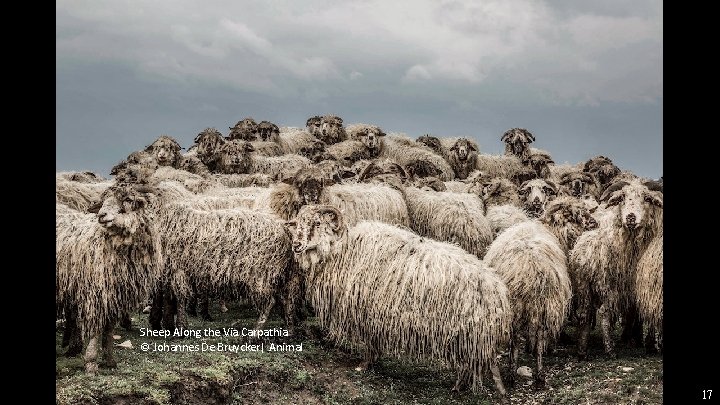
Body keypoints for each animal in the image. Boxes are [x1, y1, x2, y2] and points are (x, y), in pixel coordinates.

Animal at [56, 183, 163, 372]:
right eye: (104, 201)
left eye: (128, 199)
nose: (101, 215)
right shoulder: (96, 295)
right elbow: (96, 330)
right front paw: (91, 362)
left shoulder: (115, 296)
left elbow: (109, 330)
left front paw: (110, 360)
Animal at [286, 204, 512, 400]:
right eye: (297, 223)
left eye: (317, 223)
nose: (296, 245)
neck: (341, 250)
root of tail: (498, 292)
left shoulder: (366, 310)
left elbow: (369, 343)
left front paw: (364, 365)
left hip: (467, 334)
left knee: (467, 365)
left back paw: (457, 386)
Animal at [572, 178, 668, 358]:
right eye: (622, 197)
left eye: (647, 198)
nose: (630, 217)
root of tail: (588, 255)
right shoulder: (643, 285)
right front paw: (646, 342)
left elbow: (636, 313)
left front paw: (637, 339)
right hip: (609, 285)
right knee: (604, 312)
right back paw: (610, 350)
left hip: (583, 286)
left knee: (584, 313)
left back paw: (582, 350)